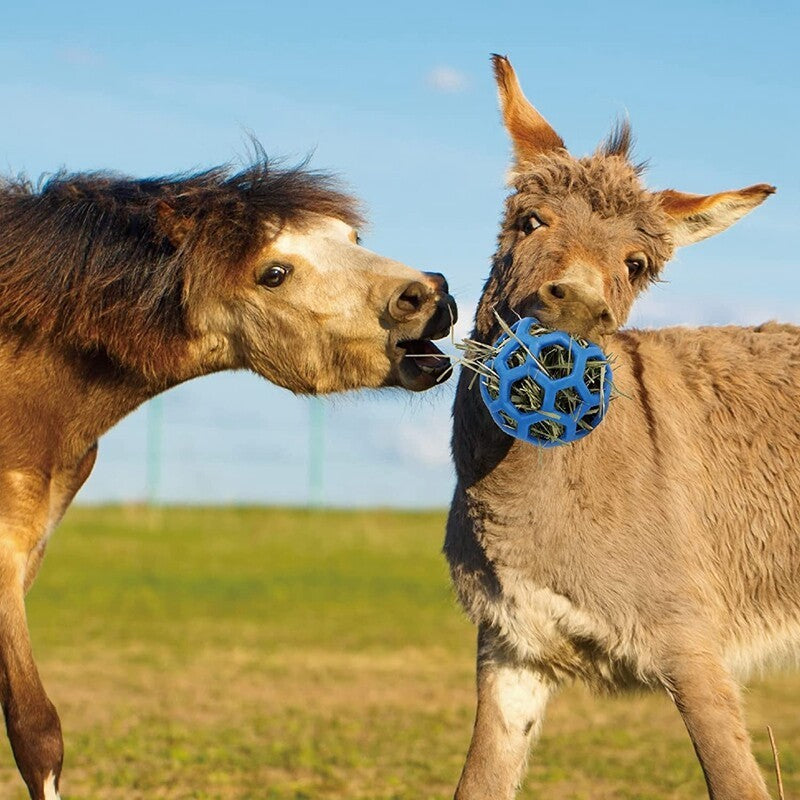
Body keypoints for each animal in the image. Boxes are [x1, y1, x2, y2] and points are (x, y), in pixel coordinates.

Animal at [446, 55, 784, 800]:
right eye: (530, 221)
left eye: (637, 266)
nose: (578, 307)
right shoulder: (512, 649)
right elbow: (480, 782)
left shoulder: (693, 648)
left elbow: (736, 781)